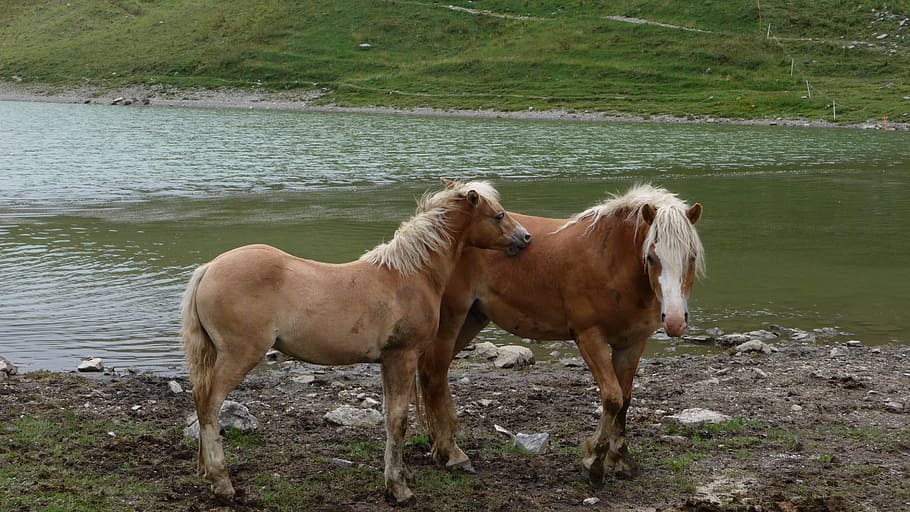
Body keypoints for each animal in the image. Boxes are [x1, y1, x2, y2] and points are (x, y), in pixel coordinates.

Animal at [180, 179, 530, 504]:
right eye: (499, 215)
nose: (526, 237)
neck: (409, 276)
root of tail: (208, 268)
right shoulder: (402, 357)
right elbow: (398, 421)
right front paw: (398, 488)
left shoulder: (389, 361)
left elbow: (391, 418)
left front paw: (400, 476)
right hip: (239, 355)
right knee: (209, 404)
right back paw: (222, 482)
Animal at [416, 183, 704, 485]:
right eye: (651, 256)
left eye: (692, 256)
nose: (675, 321)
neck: (611, 260)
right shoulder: (589, 336)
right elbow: (612, 397)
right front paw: (595, 461)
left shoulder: (632, 343)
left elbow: (624, 400)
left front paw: (620, 459)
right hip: (451, 319)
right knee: (433, 375)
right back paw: (452, 453)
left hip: (472, 319)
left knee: (433, 374)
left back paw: (439, 446)